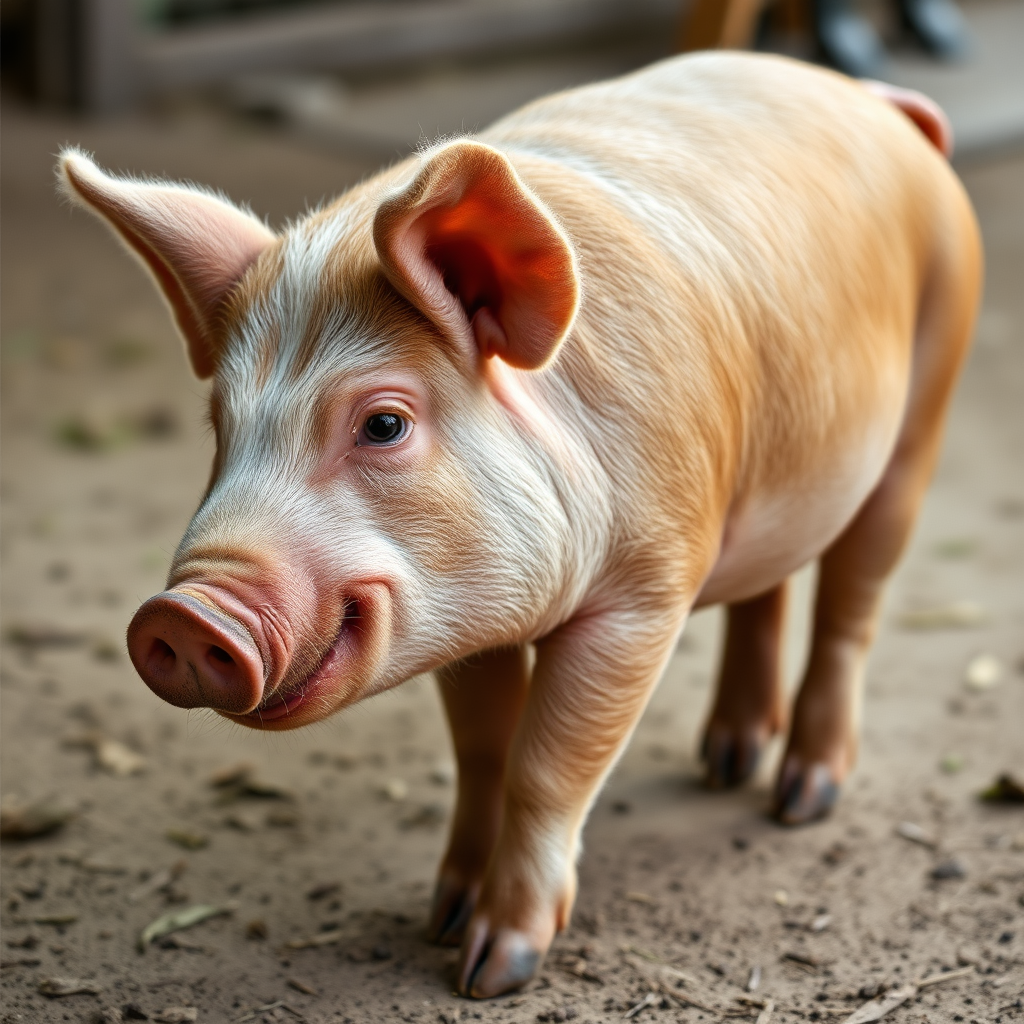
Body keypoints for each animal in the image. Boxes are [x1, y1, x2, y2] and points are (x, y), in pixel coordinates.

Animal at [58, 51, 983, 995]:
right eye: (220, 428)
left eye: (383, 424)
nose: (182, 614)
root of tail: (868, 98)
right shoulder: (465, 622)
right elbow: (484, 752)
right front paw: (441, 920)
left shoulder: (642, 596)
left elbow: (547, 767)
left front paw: (493, 973)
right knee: (771, 587)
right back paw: (723, 764)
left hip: (932, 386)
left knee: (852, 602)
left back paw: (802, 799)